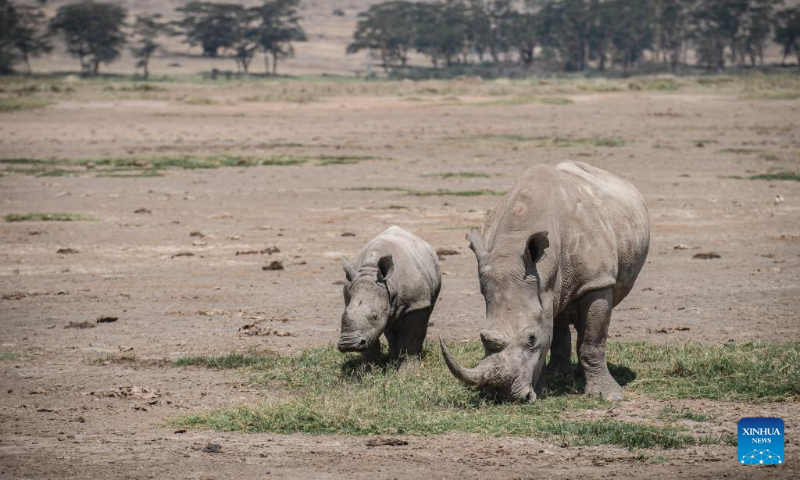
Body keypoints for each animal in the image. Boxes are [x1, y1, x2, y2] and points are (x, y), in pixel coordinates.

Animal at [336, 227, 440, 362]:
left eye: (375, 316)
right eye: (344, 314)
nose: (349, 344)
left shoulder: (417, 303)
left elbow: (411, 338)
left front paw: (409, 367)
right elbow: (371, 340)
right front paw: (367, 367)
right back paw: (393, 359)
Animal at [440, 163, 648, 404]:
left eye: (532, 338)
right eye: (482, 338)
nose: (502, 395)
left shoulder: (597, 281)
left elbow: (593, 340)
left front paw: (609, 396)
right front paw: (544, 388)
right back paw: (558, 376)